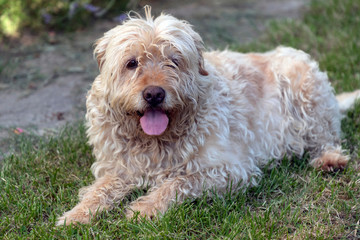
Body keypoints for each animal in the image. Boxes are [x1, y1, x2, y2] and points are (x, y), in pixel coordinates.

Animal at [56, 7, 360, 225]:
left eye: (174, 61)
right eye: (132, 63)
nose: (154, 94)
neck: (155, 141)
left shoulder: (229, 168)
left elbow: (178, 182)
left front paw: (144, 208)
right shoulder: (119, 168)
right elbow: (99, 189)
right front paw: (77, 214)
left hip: (307, 92)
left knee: (327, 136)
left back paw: (329, 159)